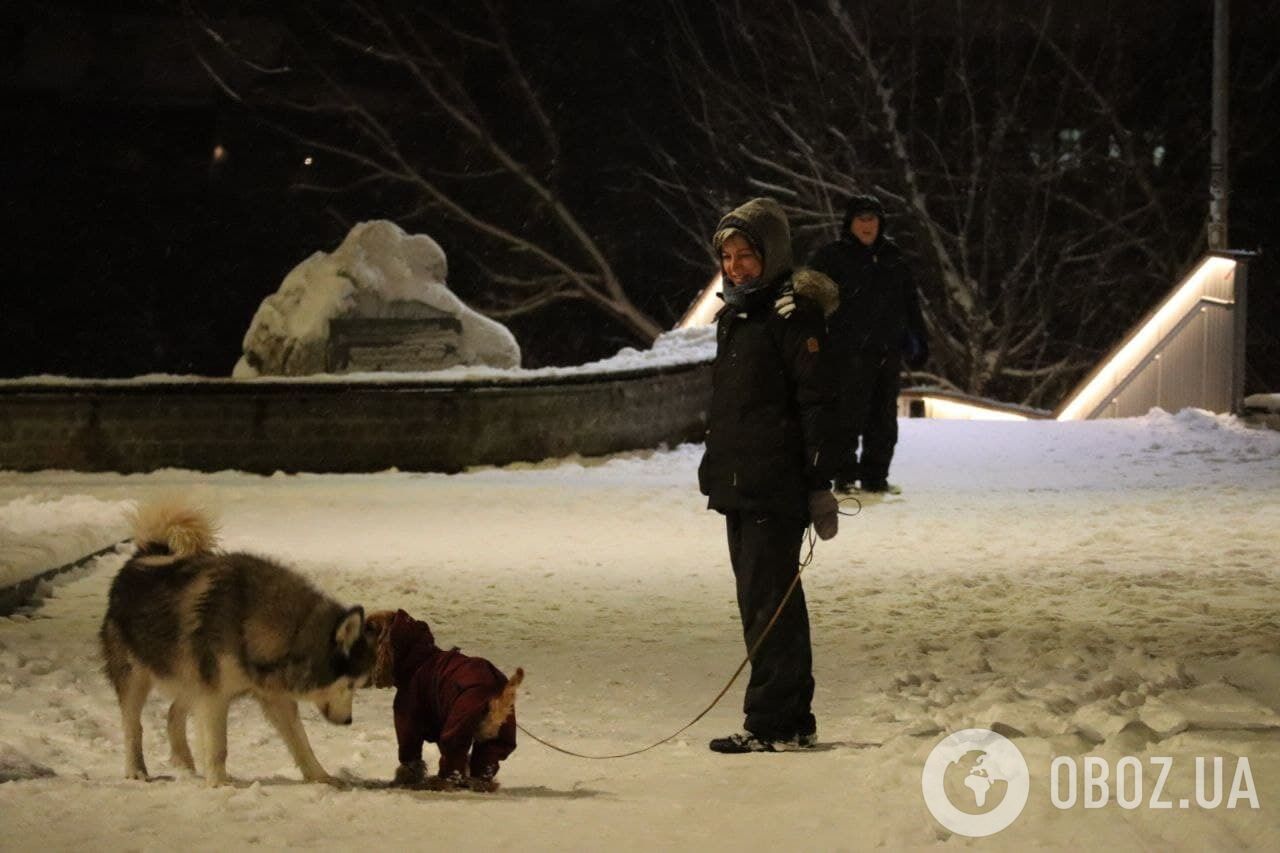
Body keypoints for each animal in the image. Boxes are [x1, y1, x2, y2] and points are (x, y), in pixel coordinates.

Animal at [100, 499, 373, 783]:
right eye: (350, 685)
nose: (349, 721)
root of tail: (142, 556)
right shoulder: (215, 696)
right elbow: (218, 746)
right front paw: (219, 783)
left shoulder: (272, 696)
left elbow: (301, 742)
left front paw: (321, 777)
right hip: (136, 677)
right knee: (133, 726)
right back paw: (136, 770)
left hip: (190, 676)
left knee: (173, 713)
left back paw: (184, 763)